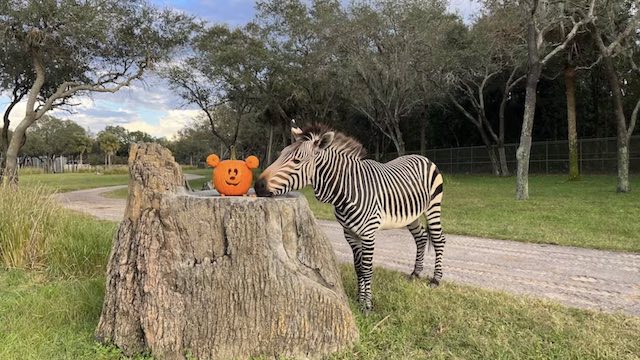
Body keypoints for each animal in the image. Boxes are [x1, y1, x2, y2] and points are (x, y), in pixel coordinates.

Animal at [255, 123, 444, 310]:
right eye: (280, 155)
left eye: (296, 161)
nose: (257, 186)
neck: (347, 189)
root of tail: (422, 157)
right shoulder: (350, 233)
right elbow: (358, 267)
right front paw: (359, 298)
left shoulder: (368, 233)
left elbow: (367, 269)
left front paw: (367, 305)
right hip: (411, 215)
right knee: (420, 237)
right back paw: (415, 273)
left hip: (433, 206)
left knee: (438, 239)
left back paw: (435, 280)